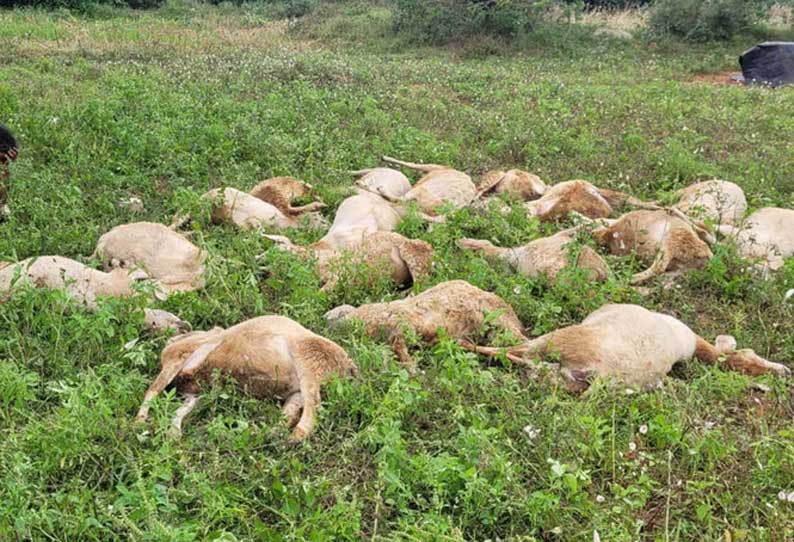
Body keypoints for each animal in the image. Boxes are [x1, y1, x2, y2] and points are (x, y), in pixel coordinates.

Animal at [135, 316, 358, 440]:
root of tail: (350, 366)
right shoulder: (196, 391)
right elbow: (179, 408)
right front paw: (171, 435)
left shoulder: (179, 356)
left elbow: (153, 389)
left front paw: (139, 424)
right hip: (299, 385)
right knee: (291, 413)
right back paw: (263, 435)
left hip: (309, 359)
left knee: (312, 407)